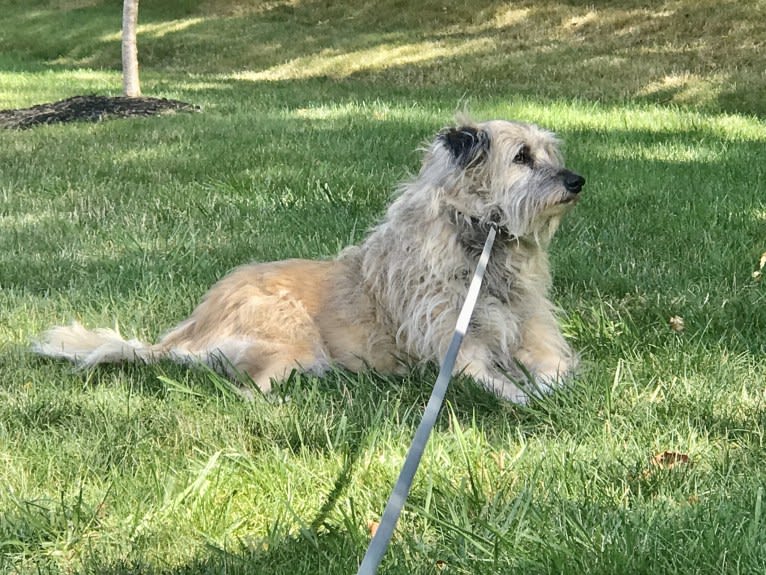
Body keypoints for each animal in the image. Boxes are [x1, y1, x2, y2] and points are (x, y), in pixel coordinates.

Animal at [33, 118, 588, 402]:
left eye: (548, 152)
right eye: (521, 157)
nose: (577, 181)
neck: (482, 238)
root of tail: (185, 331)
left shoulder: (534, 332)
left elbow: (555, 372)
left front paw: (558, 395)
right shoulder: (457, 348)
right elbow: (504, 386)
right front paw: (531, 401)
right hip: (292, 336)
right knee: (247, 393)